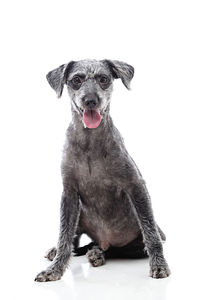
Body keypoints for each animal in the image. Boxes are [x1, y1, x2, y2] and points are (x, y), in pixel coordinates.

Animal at [34, 59, 170, 282]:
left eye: (104, 79)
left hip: (131, 245)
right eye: (76, 80)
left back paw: (97, 253)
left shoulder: (136, 186)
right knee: (75, 238)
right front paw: (55, 269)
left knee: (115, 250)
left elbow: (150, 232)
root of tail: (103, 240)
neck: (90, 142)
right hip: (79, 212)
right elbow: (65, 236)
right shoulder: (69, 195)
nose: (91, 100)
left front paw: (159, 264)